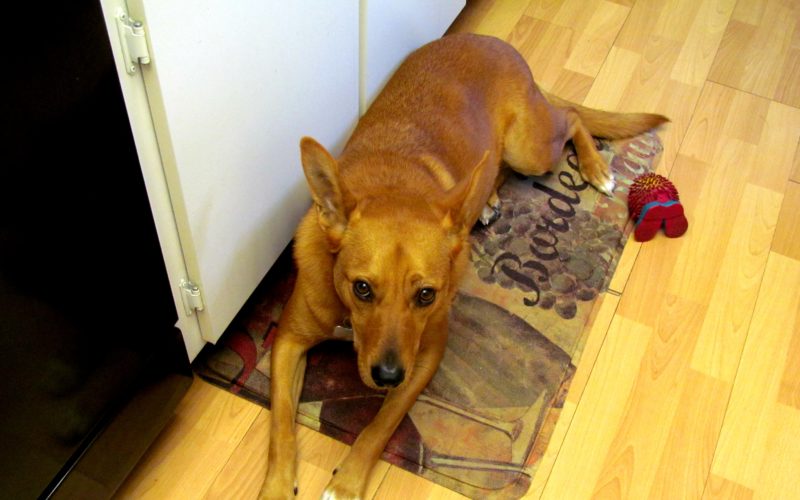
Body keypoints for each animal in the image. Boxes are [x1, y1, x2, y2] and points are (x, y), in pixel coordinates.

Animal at [260, 33, 664, 498]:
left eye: (426, 295)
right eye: (361, 287)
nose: (387, 376)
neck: (390, 185)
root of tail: (494, 43)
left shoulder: (426, 356)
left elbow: (380, 426)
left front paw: (347, 482)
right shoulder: (288, 341)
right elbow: (280, 423)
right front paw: (276, 485)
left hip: (530, 149)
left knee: (573, 118)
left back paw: (596, 168)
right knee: (499, 168)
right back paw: (487, 201)